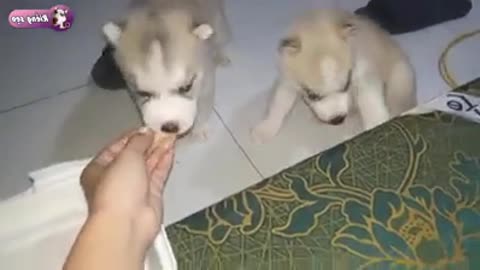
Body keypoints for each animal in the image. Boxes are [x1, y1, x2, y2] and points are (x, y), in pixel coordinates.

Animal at [101, 0, 231, 139]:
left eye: (186, 87)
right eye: (143, 93)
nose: (170, 127)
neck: (158, 8)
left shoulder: (206, 78)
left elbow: (205, 104)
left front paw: (199, 128)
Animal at [251, 8, 416, 143]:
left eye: (346, 85)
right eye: (312, 95)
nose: (337, 119)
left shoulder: (364, 75)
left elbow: (370, 102)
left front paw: (377, 124)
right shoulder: (288, 81)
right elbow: (279, 104)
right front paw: (265, 129)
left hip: (399, 78)